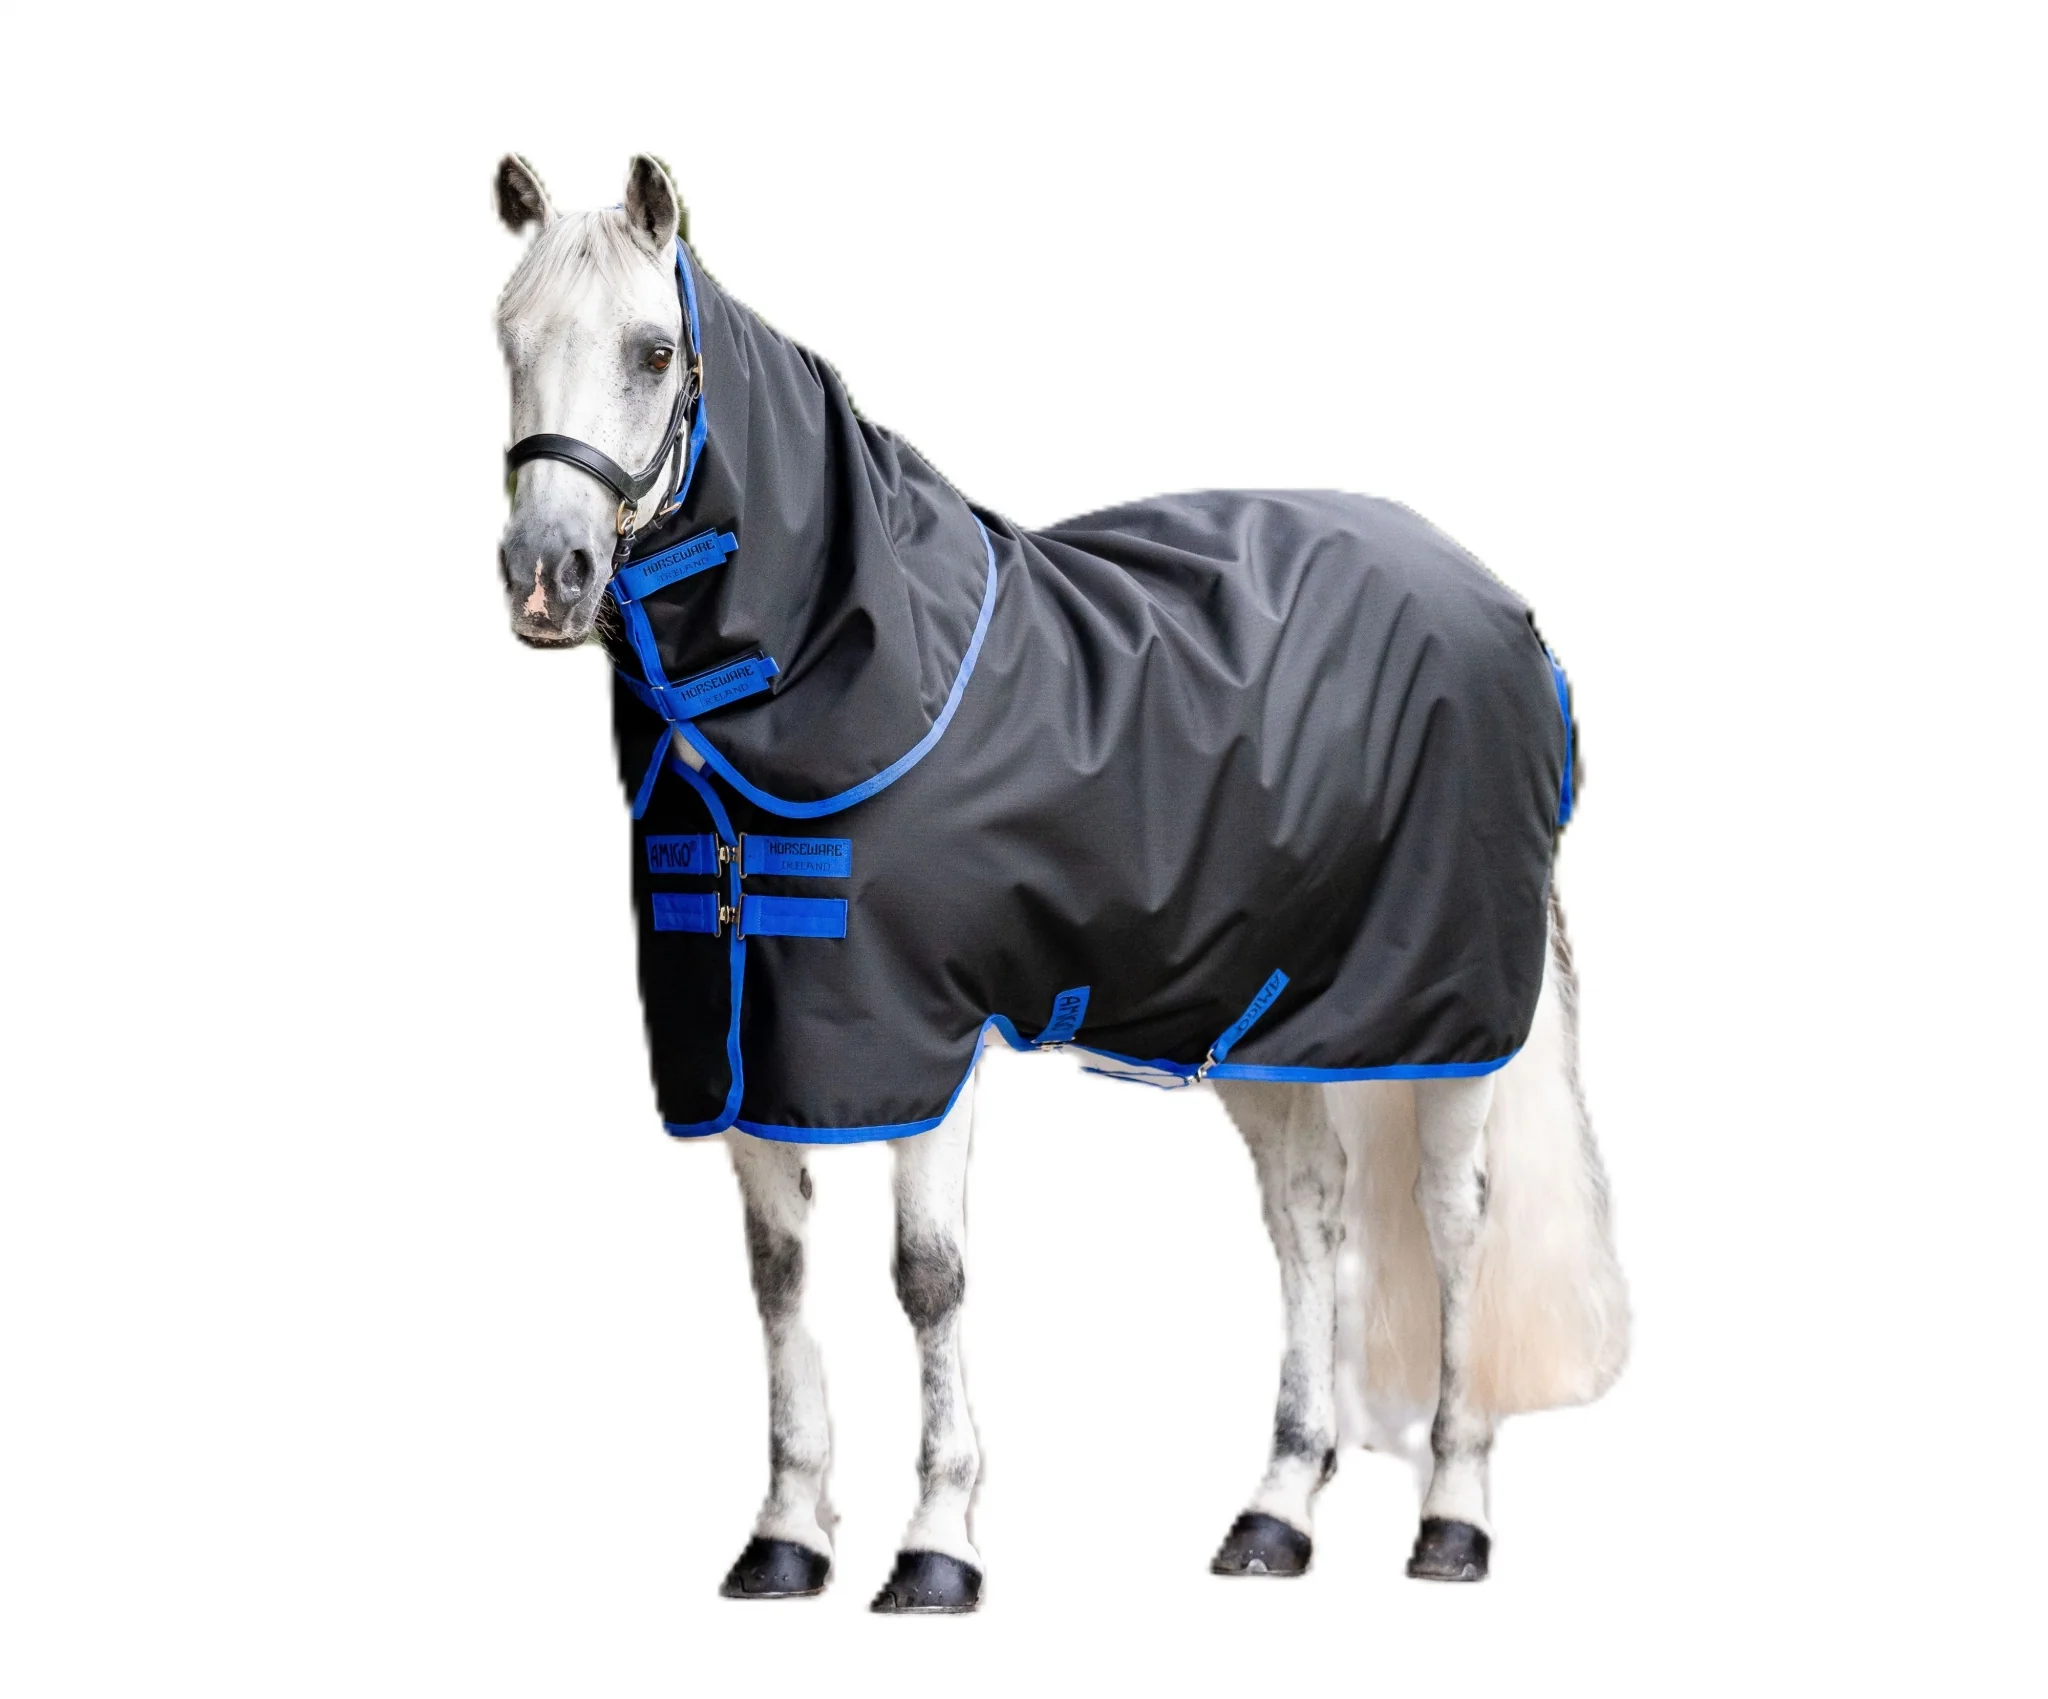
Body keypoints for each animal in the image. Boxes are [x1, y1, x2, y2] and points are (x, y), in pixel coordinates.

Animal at [489, 152, 1629, 1614]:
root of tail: (1508, 609)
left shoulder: (922, 1038)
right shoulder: (742, 1043)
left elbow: (927, 1276)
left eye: (649, 350)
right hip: (1262, 1013)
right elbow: (779, 1277)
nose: (545, 575)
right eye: (507, 340)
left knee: (1456, 1223)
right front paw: (787, 1532)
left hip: (1452, 1011)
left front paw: (938, 1544)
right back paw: (1275, 1509)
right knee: (1308, 1215)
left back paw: (1453, 1514)